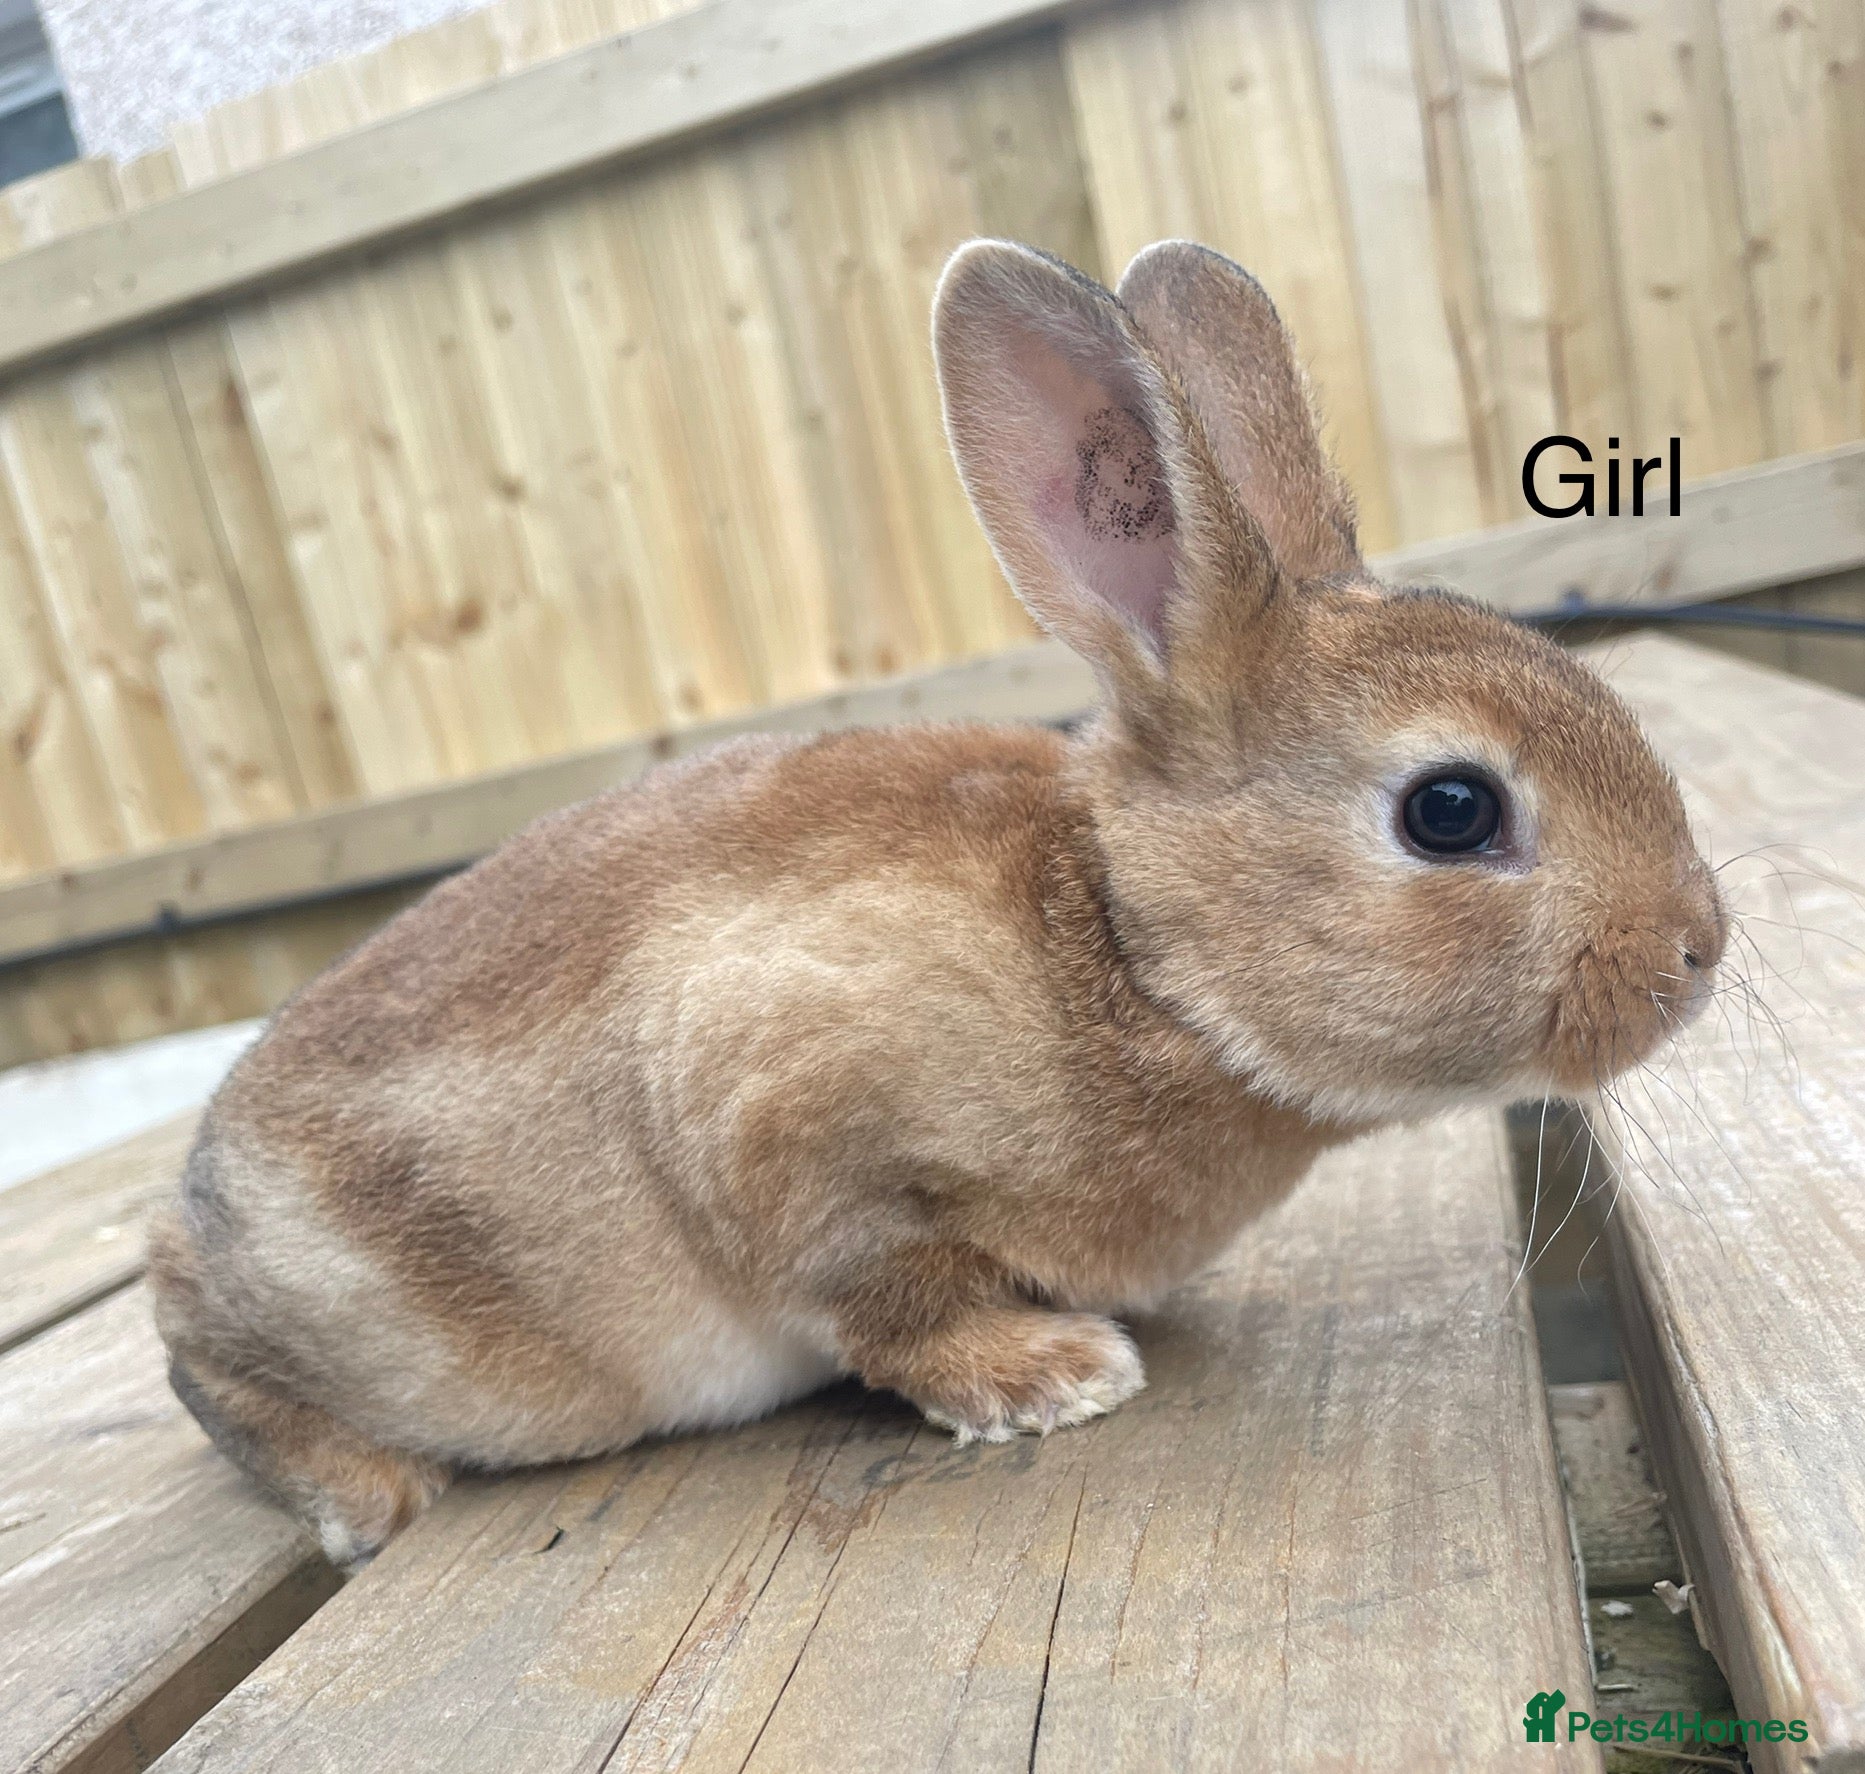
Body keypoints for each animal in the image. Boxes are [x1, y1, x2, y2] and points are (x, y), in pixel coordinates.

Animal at [148, 239, 1726, 1568]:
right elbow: (886, 1293)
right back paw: (365, 1495)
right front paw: (1054, 1374)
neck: (1135, 952)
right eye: (1449, 810)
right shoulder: (791, 1122)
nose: (1694, 950)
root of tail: (203, 1202)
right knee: (200, 1359)